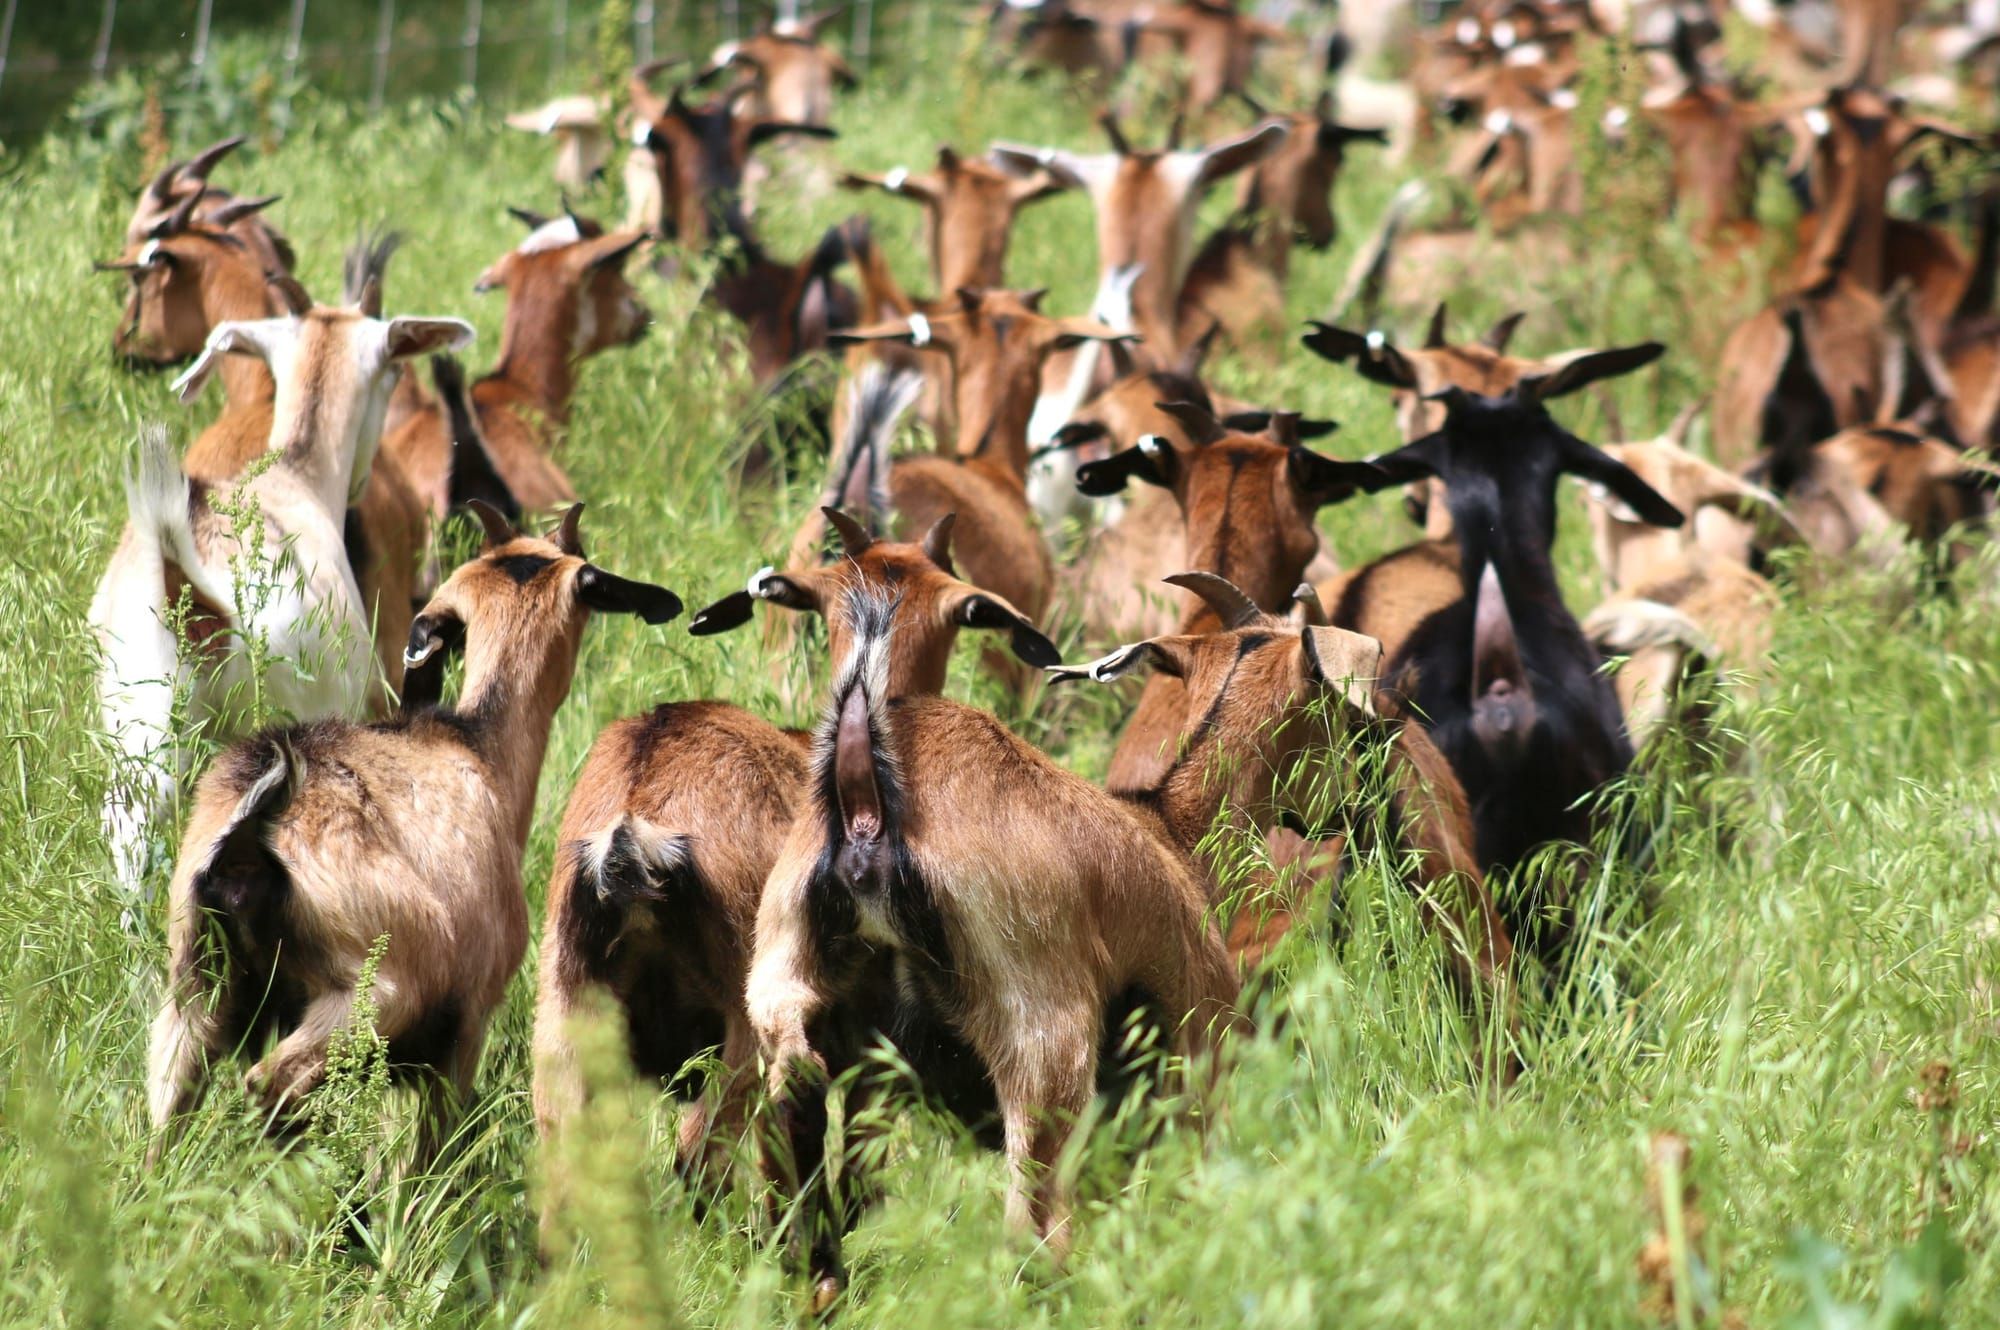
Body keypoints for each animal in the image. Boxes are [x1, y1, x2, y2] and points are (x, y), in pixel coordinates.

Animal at [146, 503, 679, 1168]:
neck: (480, 748)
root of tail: (250, 829)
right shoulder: (466, 1023)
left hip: (192, 989)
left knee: (163, 1115)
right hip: (371, 994)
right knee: (269, 1086)